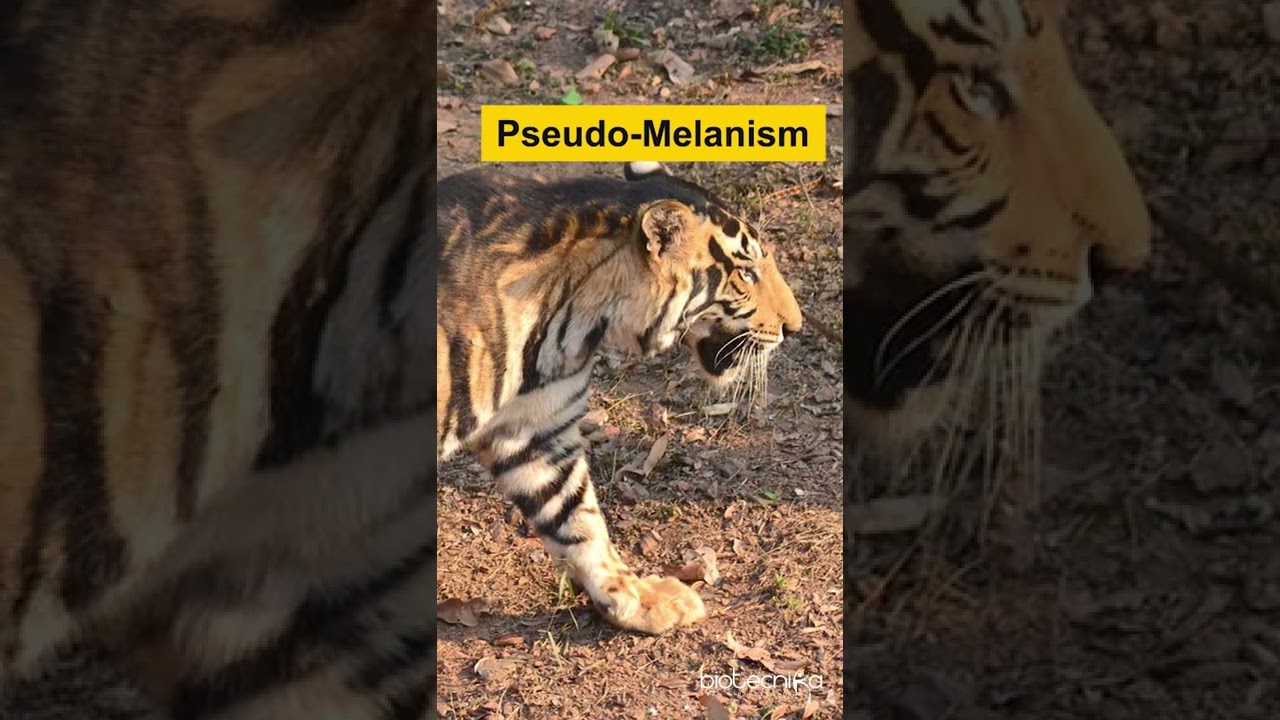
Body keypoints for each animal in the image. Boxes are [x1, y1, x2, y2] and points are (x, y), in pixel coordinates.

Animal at [437, 160, 803, 635]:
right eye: (746, 274)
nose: (795, 327)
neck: (574, 318)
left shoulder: (533, 431)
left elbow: (577, 518)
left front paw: (637, 601)